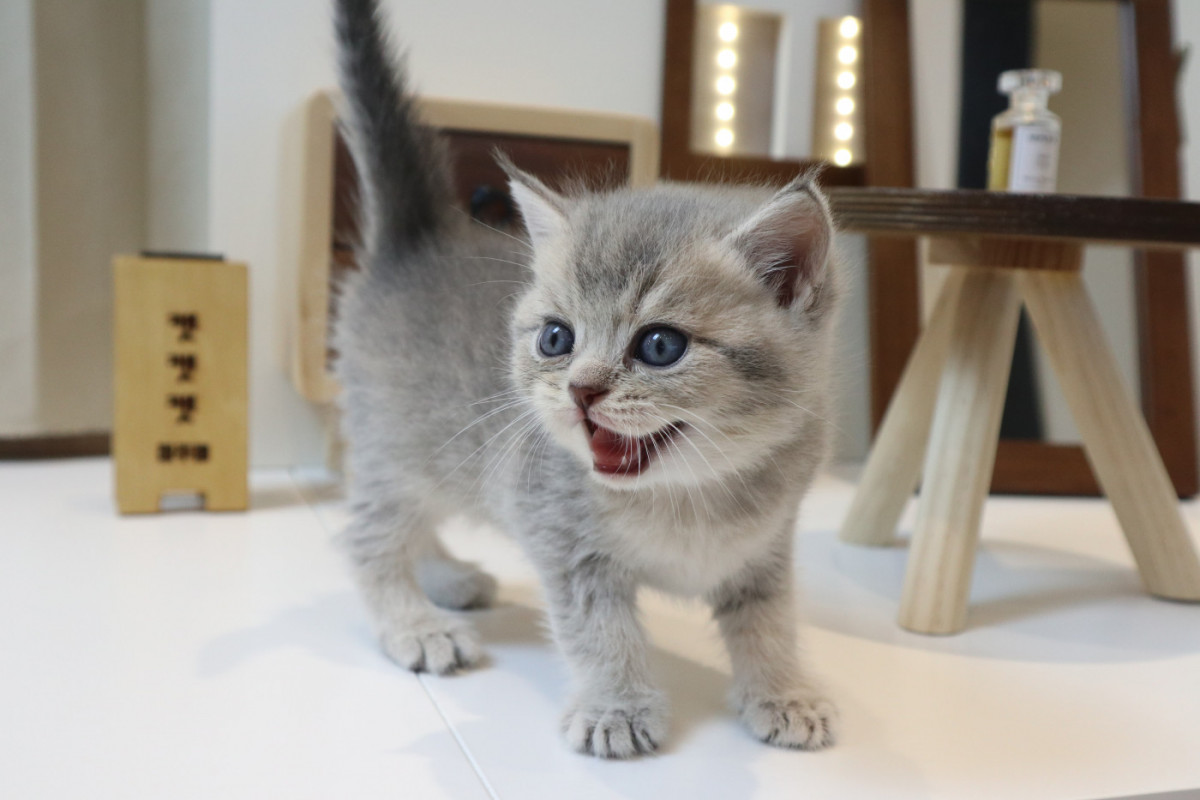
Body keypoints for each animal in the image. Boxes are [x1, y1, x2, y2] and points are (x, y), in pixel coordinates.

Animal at [333, 0, 840, 758]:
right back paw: (415, 623)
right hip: (395, 449)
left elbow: (770, 623)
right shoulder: (565, 545)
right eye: (556, 339)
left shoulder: (766, 550)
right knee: (369, 537)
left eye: (659, 345)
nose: (581, 390)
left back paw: (450, 577)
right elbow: (601, 631)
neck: (686, 497)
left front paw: (783, 692)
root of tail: (420, 240)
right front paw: (616, 707)